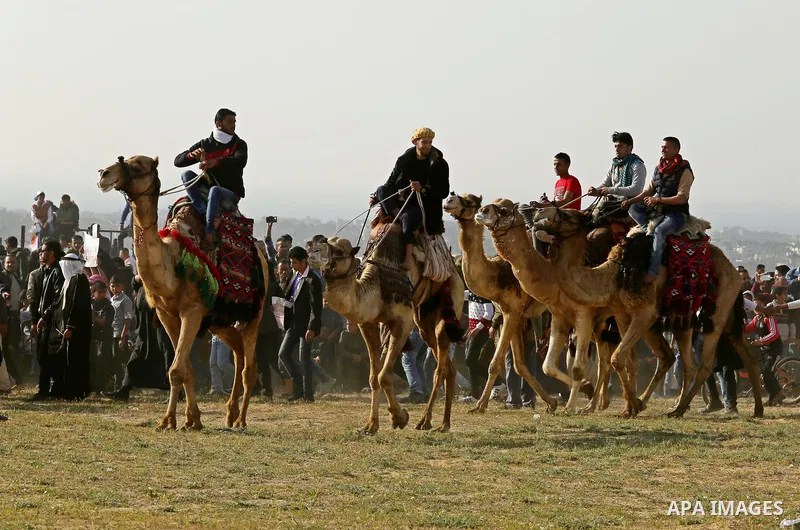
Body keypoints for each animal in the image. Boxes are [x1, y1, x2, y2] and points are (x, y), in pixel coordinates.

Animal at [97, 155, 270, 430]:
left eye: (138, 166)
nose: (104, 174)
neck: (172, 261)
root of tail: (262, 255)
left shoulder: (193, 310)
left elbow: (177, 369)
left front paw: (168, 421)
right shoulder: (166, 313)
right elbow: (185, 368)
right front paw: (192, 420)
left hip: (255, 311)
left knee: (249, 368)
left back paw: (241, 420)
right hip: (218, 321)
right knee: (239, 353)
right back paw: (230, 413)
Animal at [311, 226, 465, 434]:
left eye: (340, 250)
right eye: (323, 242)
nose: (312, 252)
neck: (376, 287)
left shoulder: (402, 322)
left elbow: (384, 375)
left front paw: (400, 418)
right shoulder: (367, 324)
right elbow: (373, 376)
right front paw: (370, 426)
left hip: (451, 299)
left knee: (439, 369)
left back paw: (425, 421)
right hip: (424, 320)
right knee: (449, 367)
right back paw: (444, 423)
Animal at [443, 193, 557, 413]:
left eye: (470, 201)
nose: (449, 200)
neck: (497, 274)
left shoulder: (513, 312)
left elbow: (495, 363)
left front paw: (480, 405)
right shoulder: (509, 313)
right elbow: (519, 364)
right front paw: (550, 403)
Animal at [530, 205, 764, 418]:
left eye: (566, 214)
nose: (538, 211)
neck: (616, 272)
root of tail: (734, 271)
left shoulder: (644, 314)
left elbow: (616, 358)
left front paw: (634, 405)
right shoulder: (621, 313)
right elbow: (626, 360)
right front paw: (629, 408)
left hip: (717, 311)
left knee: (705, 364)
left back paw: (679, 409)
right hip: (701, 316)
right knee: (721, 358)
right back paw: (755, 409)